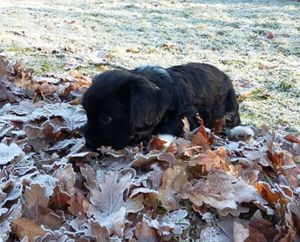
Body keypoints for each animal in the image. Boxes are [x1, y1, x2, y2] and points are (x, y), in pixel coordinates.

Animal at [82, 62, 241, 149]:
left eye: (105, 118)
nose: (87, 142)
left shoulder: (187, 113)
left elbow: (172, 127)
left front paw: (161, 143)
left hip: (230, 105)